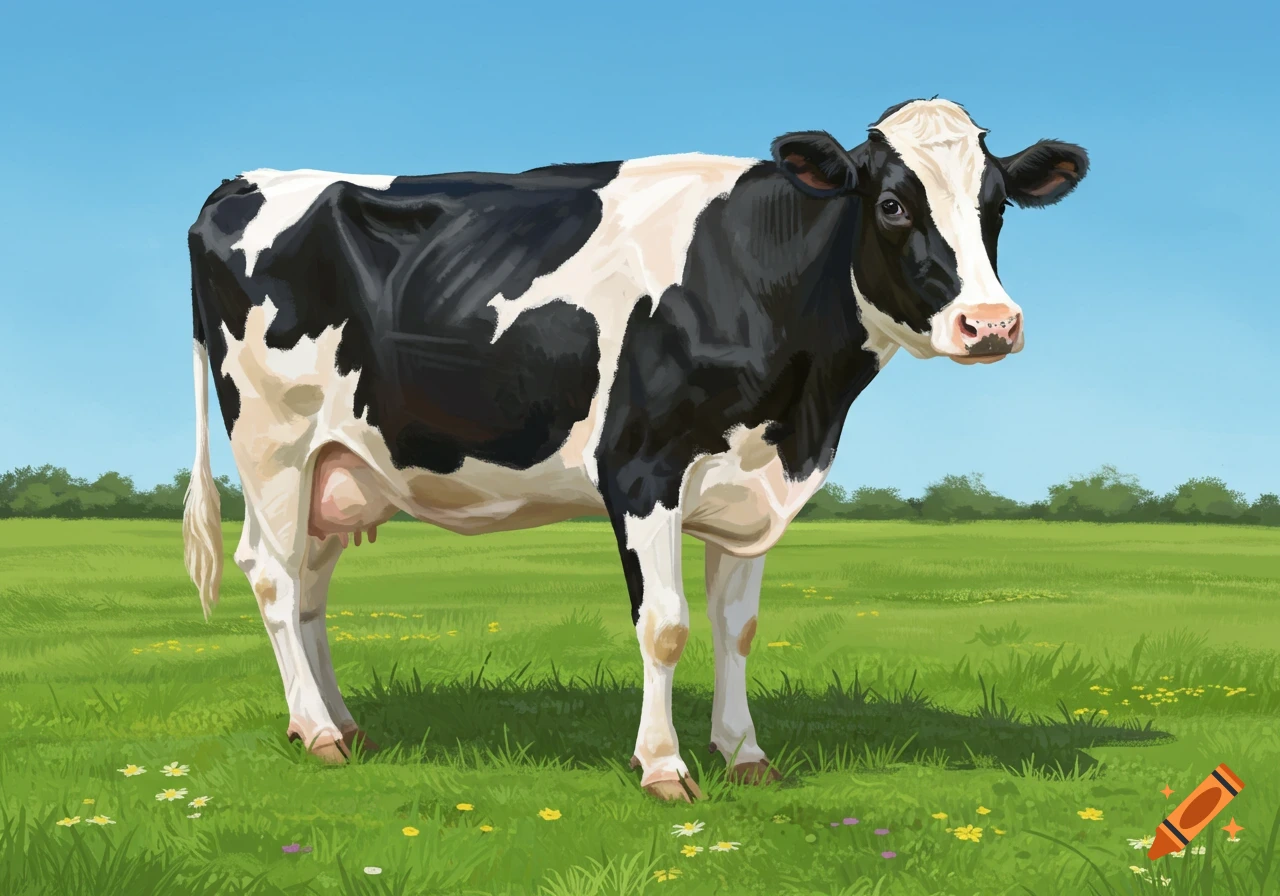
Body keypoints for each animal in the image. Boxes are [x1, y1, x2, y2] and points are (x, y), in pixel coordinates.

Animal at [183, 98, 1088, 802]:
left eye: (996, 205)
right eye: (894, 204)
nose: (991, 324)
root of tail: (243, 182)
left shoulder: (751, 481)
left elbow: (737, 627)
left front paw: (746, 755)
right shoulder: (643, 470)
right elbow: (666, 624)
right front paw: (664, 767)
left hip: (337, 464)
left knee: (310, 586)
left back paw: (343, 726)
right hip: (274, 441)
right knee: (271, 573)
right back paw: (315, 732)